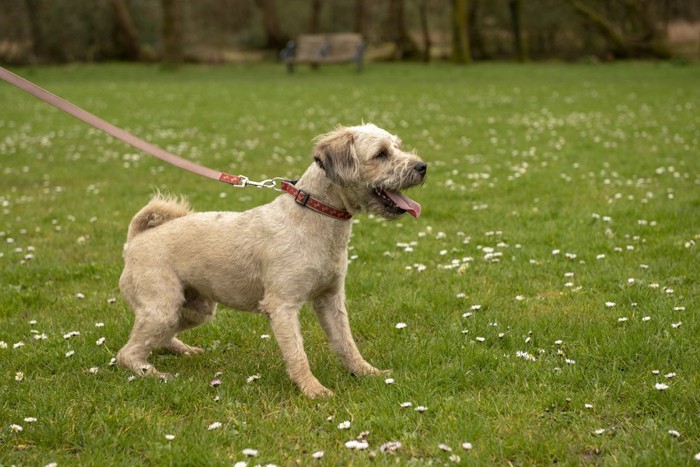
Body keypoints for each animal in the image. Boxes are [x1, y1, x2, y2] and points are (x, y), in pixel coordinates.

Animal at [117, 124, 426, 398]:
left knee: (156, 340)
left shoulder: (330, 300)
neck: (312, 219)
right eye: (381, 154)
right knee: (126, 354)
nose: (423, 166)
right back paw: (155, 374)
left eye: (397, 146)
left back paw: (184, 350)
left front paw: (366, 373)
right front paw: (313, 390)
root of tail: (136, 240)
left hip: (195, 309)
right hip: (162, 309)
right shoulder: (283, 306)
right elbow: (297, 354)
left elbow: (346, 343)